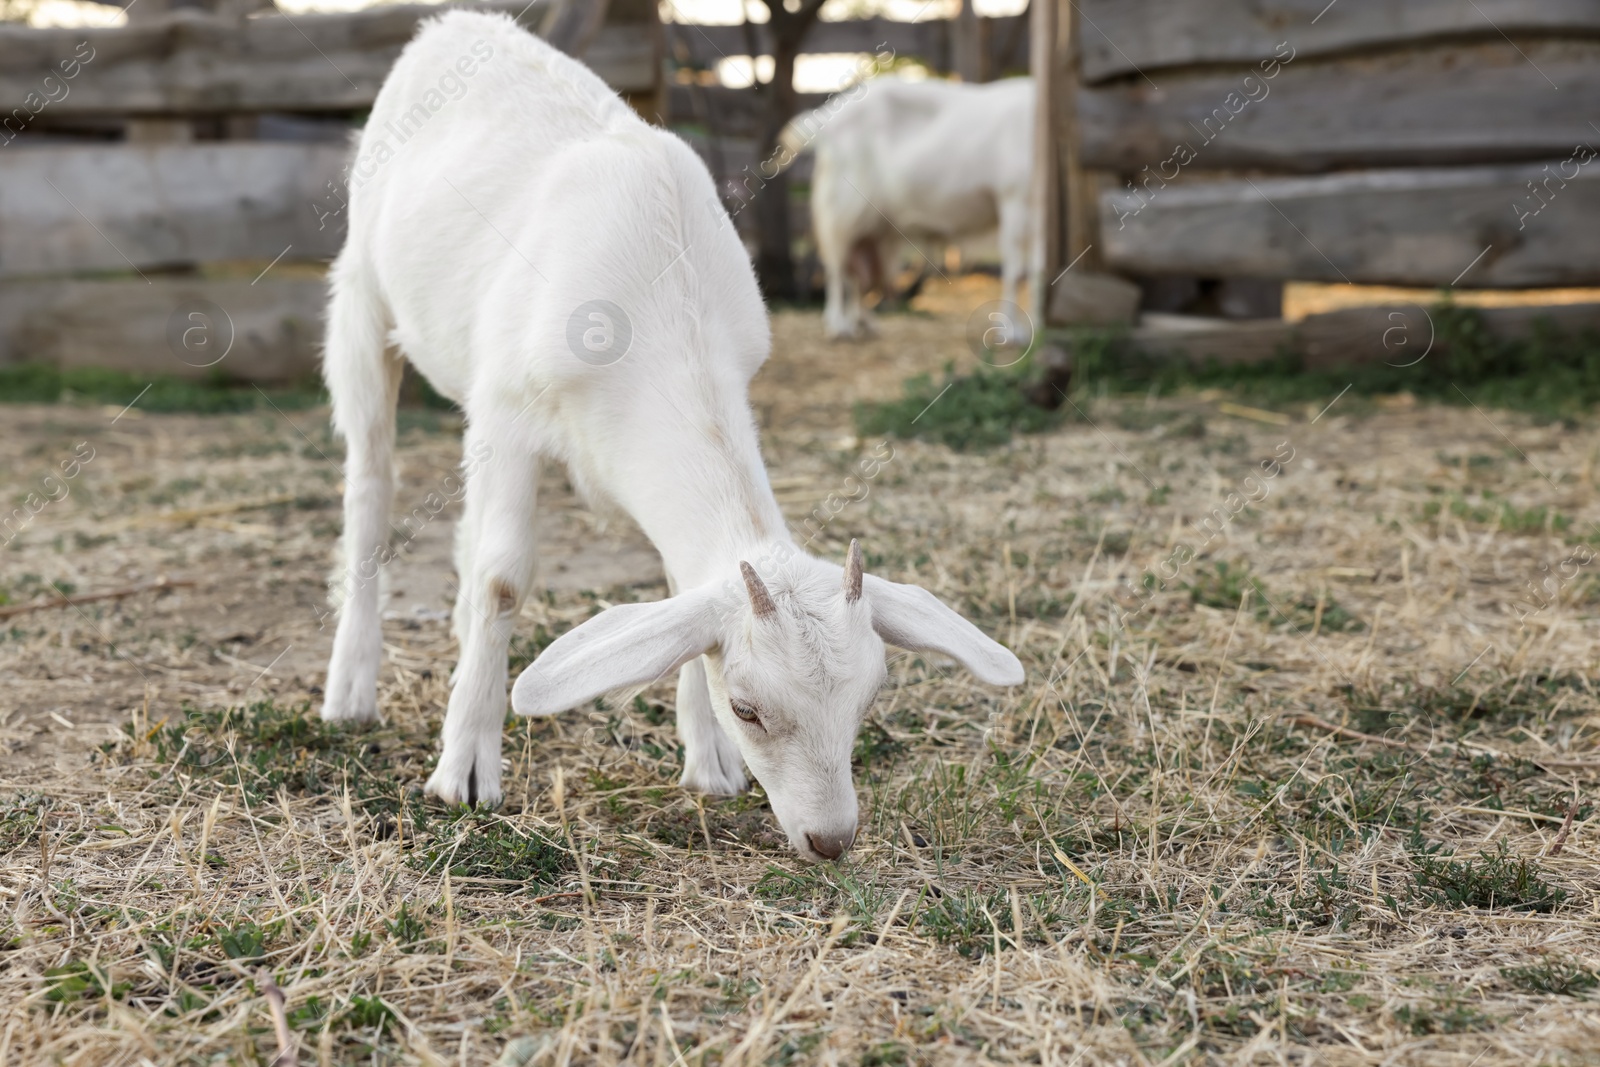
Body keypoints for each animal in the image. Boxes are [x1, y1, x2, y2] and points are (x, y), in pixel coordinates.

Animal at [784, 77, 1036, 340]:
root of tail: (827, 120)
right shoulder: (1015, 200)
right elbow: (1018, 272)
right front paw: (1013, 331)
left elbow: (1037, 270)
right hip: (842, 211)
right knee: (837, 270)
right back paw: (838, 326)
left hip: (872, 226)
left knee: (859, 273)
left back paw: (863, 322)